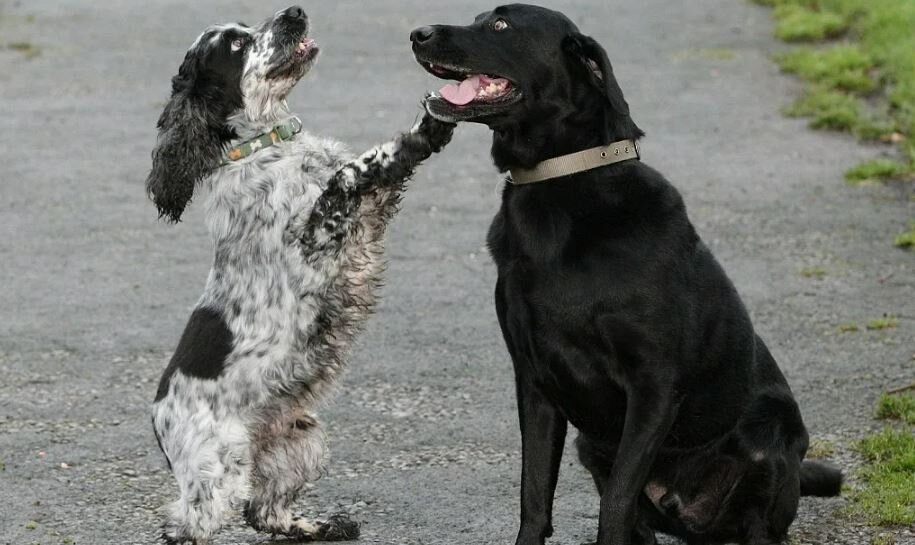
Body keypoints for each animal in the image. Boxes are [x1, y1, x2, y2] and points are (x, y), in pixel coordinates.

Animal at [148, 5, 456, 544]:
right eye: (235, 45)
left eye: (247, 26)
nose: (294, 11)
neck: (267, 145)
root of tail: (157, 419)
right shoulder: (316, 238)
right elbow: (350, 173)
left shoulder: (368, 218)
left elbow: (382, 164)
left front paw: (432, 124)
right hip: (216, 471)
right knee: (187, 524)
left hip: (302, 440)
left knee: (265, 512)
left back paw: (328, 526)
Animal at [412, 5, 840, 544]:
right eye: (478, 17)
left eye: (501, 25)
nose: (417, 33)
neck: (559, 182)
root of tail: (690, 514)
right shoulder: (533, 382)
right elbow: (534, 492)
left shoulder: (653, 386)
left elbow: (615, 500)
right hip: (590, 445)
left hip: (770, 440)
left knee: (760, 525)